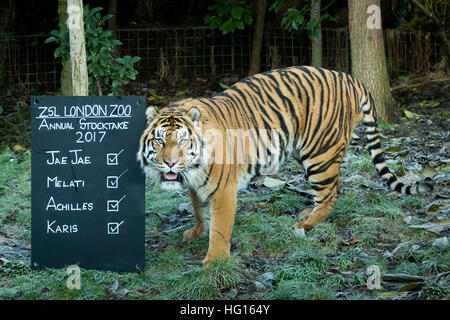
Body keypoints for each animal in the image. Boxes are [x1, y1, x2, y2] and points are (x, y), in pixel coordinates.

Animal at [137, 65, 432, 264]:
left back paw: (307, 225)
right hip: (311, 151)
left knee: (330, 192)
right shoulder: (196, 186)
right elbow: (200, 211)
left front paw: (214, 262)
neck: (192, 169)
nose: (170, 163)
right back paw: (308, 215)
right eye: (160, 140)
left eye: (183, 141)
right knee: (336, 185)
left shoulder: (223, 191)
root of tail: (350, 78)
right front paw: (198, 232)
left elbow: (220, 228)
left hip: (320, 153)